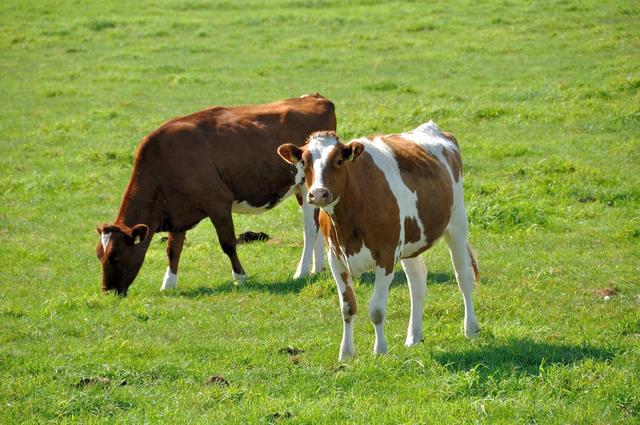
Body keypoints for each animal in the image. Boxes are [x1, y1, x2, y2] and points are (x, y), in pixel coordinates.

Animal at [96, 93, 336, 294]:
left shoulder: (218, 203)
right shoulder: (177, 212)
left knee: (309, 229)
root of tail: (315, 97)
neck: (164, 161)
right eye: (99, 255)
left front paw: (240, 277)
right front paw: (168, 283)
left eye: (116, 255)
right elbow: (173, 249)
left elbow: (228, 243)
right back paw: (317, 269)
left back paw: (301, 272)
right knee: (317, 225)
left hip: (306, 186)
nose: (108, 291)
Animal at [278, 121, 478, 360]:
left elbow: (376, 309)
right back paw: (414, 337)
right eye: (305, 162)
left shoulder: (386, 255)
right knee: (417, 282)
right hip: (411, 240)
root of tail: (433, 128)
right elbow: (347, 307)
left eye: (338, 161)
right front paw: (346, 353)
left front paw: (380, 350)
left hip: (457, 223)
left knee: (463, 276)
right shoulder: (335, 258)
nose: (318, 194)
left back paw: (470, 328)